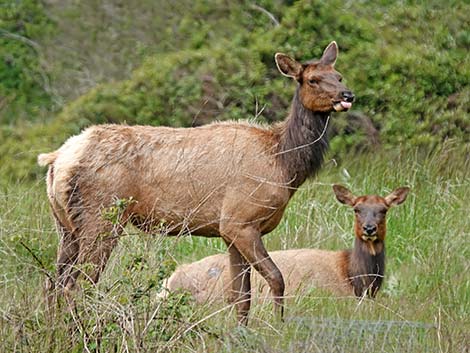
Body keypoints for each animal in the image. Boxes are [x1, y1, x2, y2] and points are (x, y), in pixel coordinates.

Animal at [37, 40, 352, 322]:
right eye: (312, 79)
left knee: (54, 282)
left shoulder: (229, 230)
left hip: (65, 225)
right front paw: (277, 327)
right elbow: (276, 278)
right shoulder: (240, 219)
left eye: (338, 75)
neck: (283, 164)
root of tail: (56, 159)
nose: (348, 94)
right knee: (76, 284)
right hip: (101, 217)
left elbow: (241, 296)